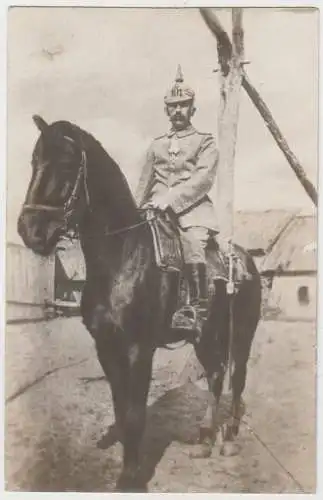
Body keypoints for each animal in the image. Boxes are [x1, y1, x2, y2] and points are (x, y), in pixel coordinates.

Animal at [17, 115, 262, 490]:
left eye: (67, 163)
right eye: (34, 161)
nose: (30, 230)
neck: (122, 255)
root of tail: (247, 261)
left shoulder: (138, 349)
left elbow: (134, 414)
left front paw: (131, 477)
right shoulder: (106, 346)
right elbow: (120, 407)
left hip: (242, 334)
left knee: (237, 378)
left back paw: (230, 437)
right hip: (206, 336)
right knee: (216, 375)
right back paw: (206, 438)